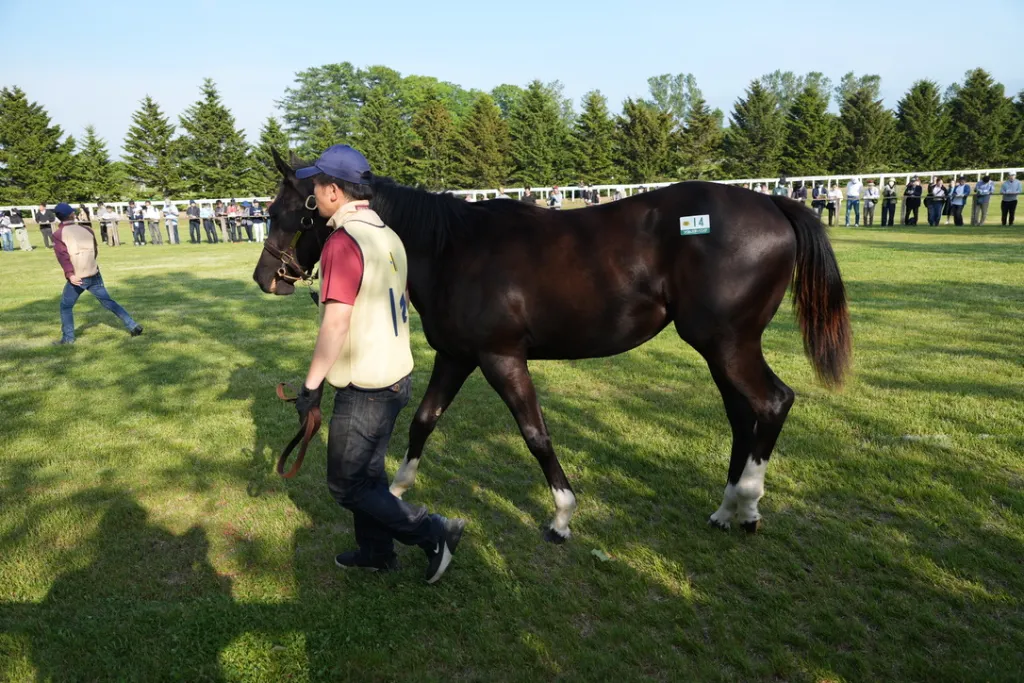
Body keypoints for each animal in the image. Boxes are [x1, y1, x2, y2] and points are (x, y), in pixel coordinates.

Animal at [253, 151, 851, 543]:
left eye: (282, 213)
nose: (265, 277)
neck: (453, 248)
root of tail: (774, 206)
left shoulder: (500, 358)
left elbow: (535, 434)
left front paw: (563, 515)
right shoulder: (457, 357)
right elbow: (424, 420)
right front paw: (396, 496)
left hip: (726, 343)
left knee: (772, 403)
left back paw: (747, 505)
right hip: (721, 349)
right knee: (742, 415)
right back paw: (728, 509)